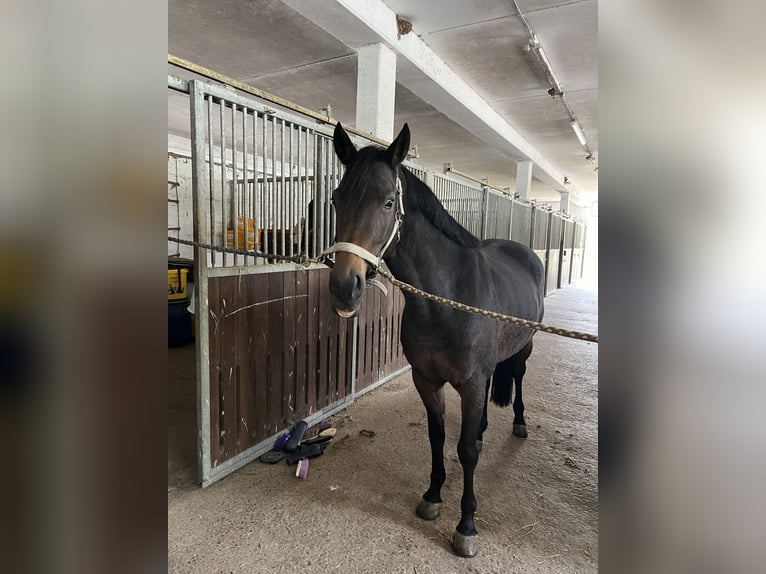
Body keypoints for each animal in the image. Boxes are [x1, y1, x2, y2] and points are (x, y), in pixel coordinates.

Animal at [324, 122, 544, 560]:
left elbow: (466, 452)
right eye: (337, 199)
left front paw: (467, 526)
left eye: (388, 202)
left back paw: (519, 423)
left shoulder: (470, 384)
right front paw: (432, 496)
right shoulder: (426, 380)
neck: (447, 300)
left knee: (518, 378)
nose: (344, 287)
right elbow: (438, 437)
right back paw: (483, 427)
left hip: (523, 351)